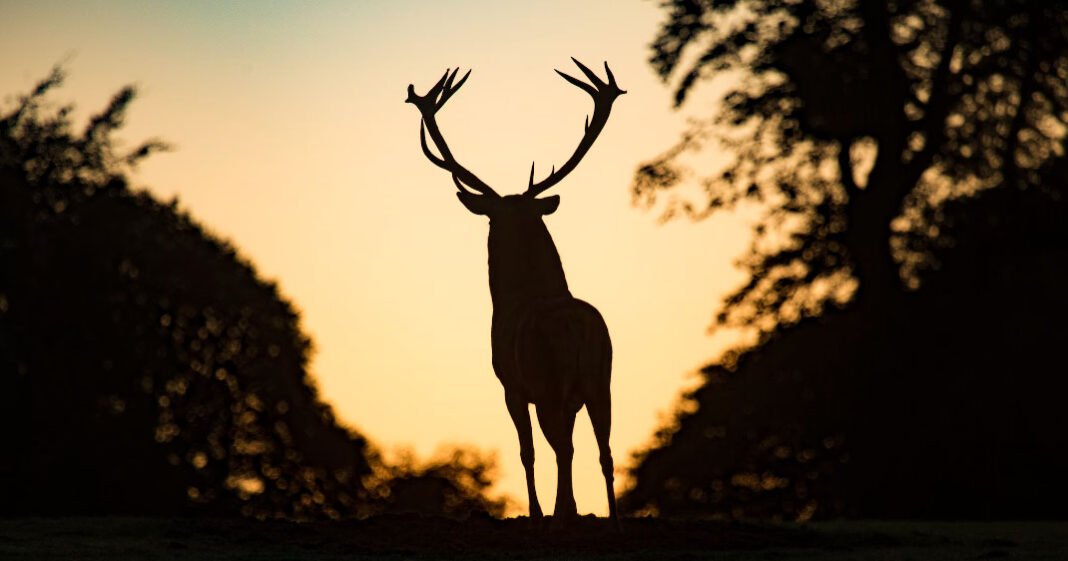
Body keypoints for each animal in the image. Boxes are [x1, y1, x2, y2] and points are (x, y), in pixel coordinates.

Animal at [405, 59, 625, 525]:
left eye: (491, 218)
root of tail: (577, 328)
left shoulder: (510, 384)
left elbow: (526, 452)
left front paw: (539, 512)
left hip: (550, 382)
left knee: (561, 447)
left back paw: (561, 514)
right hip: (603, 379)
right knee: (605, 451)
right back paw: (610, 517)